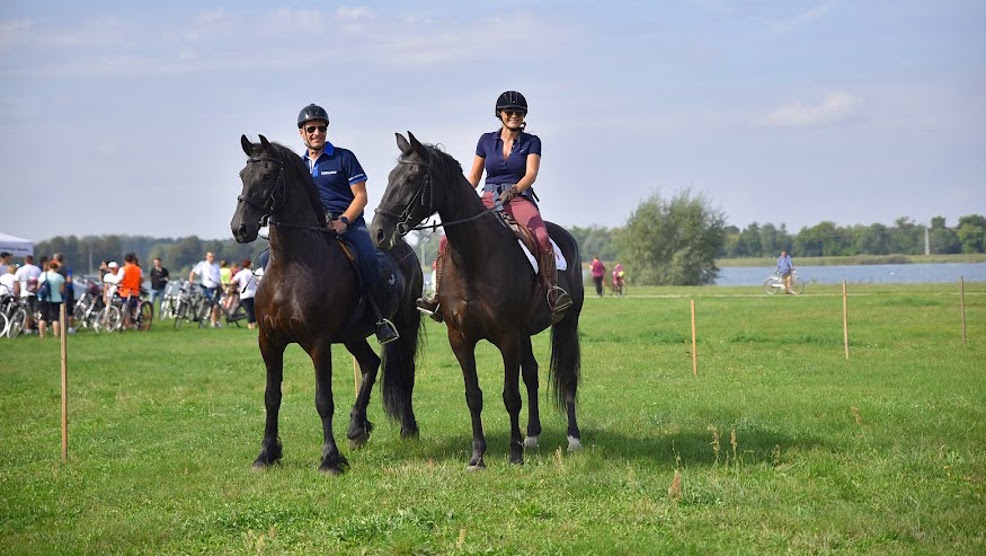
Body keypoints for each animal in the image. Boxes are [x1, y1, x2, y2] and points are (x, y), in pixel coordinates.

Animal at [233, 134, 420, 474]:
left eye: (266, 175)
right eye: (243, 175)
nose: (239, 228)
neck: (292, 264)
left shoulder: (319, 343)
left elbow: (323, 400)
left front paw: (330, 459)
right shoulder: (268, 341)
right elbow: (271, 396)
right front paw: (266, 453)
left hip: (404, 324)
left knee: (404, 371)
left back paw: (407, 429)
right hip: (352, 335)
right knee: (371, 364)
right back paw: (357, 428)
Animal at [370, 131, 584, 470]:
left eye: (412, 178)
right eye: (392, 176)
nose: (378, 231)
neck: (475, 257)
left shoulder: (507, 337)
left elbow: (510, 396)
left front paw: (514, 453)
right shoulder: (460, 338)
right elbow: (474, 395)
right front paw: (477, 456)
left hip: (567, 323)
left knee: (568, 377)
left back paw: (573, 438)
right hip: (525, 334)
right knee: (532, 374)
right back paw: (532, 435)